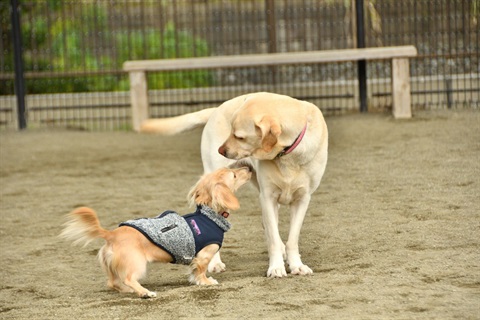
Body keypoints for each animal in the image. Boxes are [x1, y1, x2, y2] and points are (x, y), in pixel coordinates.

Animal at [60, 166, 251, 298]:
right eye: (234, 175)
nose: (248, 168)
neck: (209, 215)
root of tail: (112, 234)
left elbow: (193, 272)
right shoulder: (204, 255)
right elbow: (201, 271)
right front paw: (206, 282)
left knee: (113, 283)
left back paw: (130, 290)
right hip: (137, 264)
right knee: (128, 278)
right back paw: (145, 293)